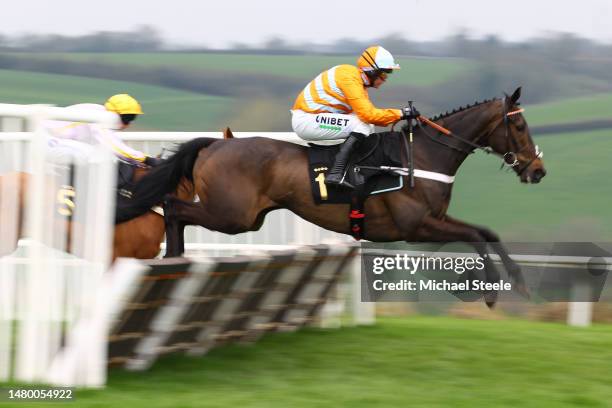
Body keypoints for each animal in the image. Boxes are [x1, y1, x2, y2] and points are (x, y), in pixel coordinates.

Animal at [124, 88, 544, 306]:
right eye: (520, 126)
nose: (538, 170)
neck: (423, 156)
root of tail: (216, 144)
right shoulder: (416, 227)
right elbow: (474, 236)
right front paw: (488, 288)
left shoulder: (433, 222)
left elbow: (486, 232)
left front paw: (519, 281)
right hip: (232, 215)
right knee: (173, 208)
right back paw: (172, 259)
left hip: (241, 216)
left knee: (175, 210)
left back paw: (173, 262)